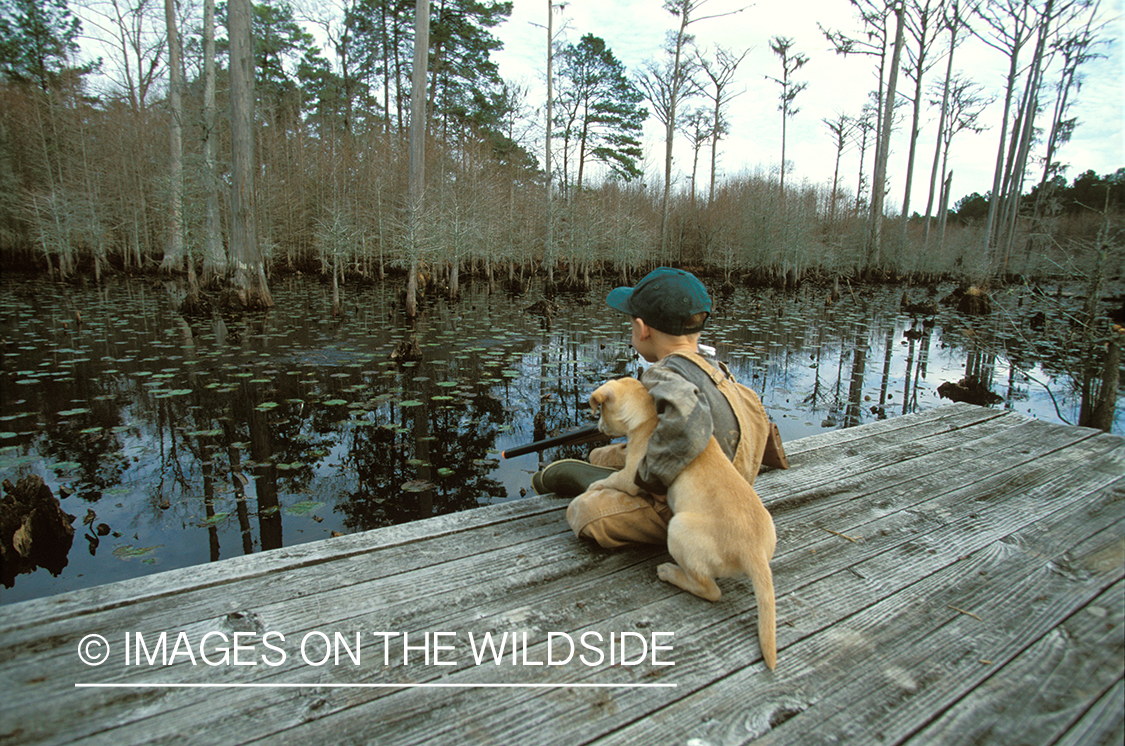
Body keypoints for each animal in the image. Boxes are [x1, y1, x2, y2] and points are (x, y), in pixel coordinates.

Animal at [585, 380, 778, 670]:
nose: (597, 427)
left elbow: (612, 479)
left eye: (601, 412)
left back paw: (669, 572)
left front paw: (593, 485)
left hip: (678, 529)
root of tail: (752, 552)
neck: (649, 416)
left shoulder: (632, 476)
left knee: (710, 590)